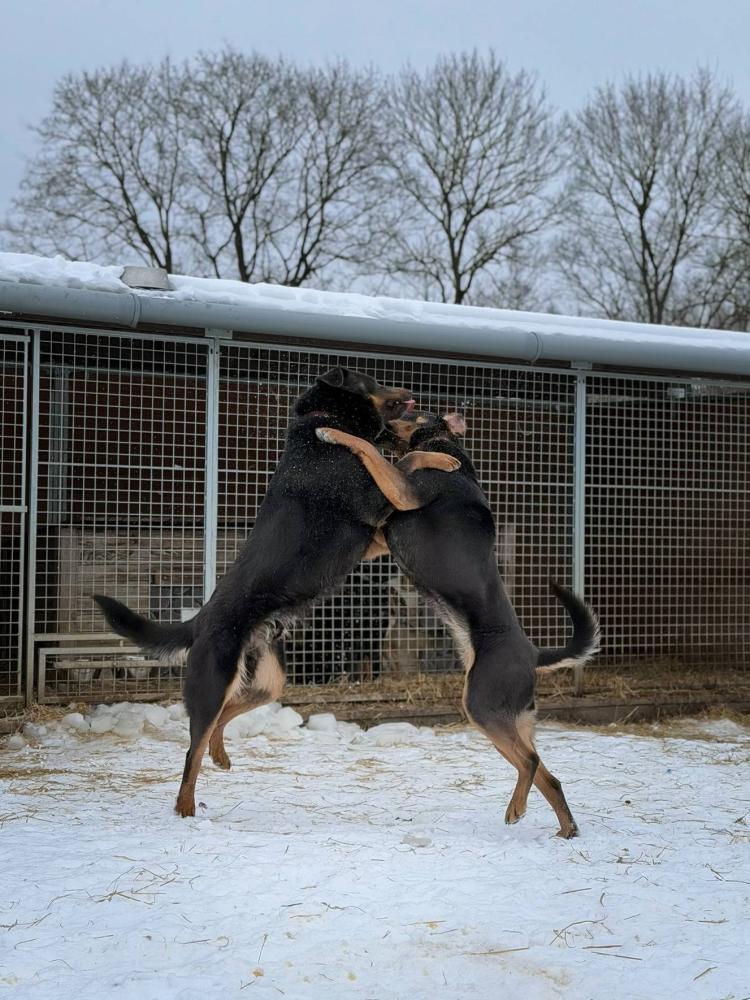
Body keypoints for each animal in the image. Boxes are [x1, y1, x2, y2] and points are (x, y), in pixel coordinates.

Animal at [94, 368, 459, 817]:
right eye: (371, 381)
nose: (412, 394)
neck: (318, 426)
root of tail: (200, 620)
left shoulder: (373, 534)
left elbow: (393, 463)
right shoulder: (375, 504)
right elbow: (400, 462)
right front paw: (441, 459)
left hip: (268, 680)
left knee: (223, 719)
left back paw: (220, 754)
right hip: (213, 681)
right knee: (192, 750)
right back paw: (186, 807)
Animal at [317, 411, 599, 837]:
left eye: (410, 411)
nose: (382, 423)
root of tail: (533, 654)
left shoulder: (404, 492)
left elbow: (381, 453)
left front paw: (333, 432)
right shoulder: (381, 535)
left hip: (482, 706)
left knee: (531, 763)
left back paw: (516, 810)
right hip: (506, 720)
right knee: (548, 777)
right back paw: (565, 831)